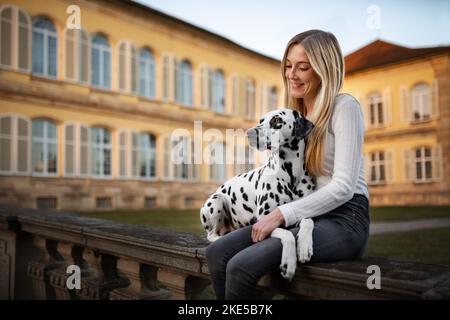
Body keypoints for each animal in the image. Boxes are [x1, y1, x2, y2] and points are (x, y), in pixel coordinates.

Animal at [200, 108, 316, 280]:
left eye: (277, 120)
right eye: (261, 120)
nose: (249, 133)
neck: (290, 174)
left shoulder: (302, 210)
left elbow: (308, 221)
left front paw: (304, 247)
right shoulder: (263, 221)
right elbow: (287, 234)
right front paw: (288, 263)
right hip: (216, 201)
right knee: (211, 234)